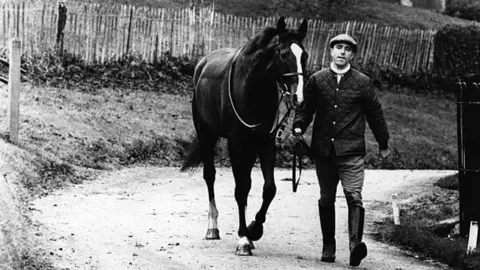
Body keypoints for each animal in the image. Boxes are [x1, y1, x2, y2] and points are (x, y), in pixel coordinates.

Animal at [180, 17, 308, 256]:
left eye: (304, 55)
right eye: (283, 54)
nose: (299, 97)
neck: (253, 87)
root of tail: (203, 64)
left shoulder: (265, 142)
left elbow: (269, 189)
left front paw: (254, 229)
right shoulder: (236, 143)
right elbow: (241, 189)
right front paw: (243, 239)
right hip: (206, 135)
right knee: (210, 176)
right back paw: (213, 228)